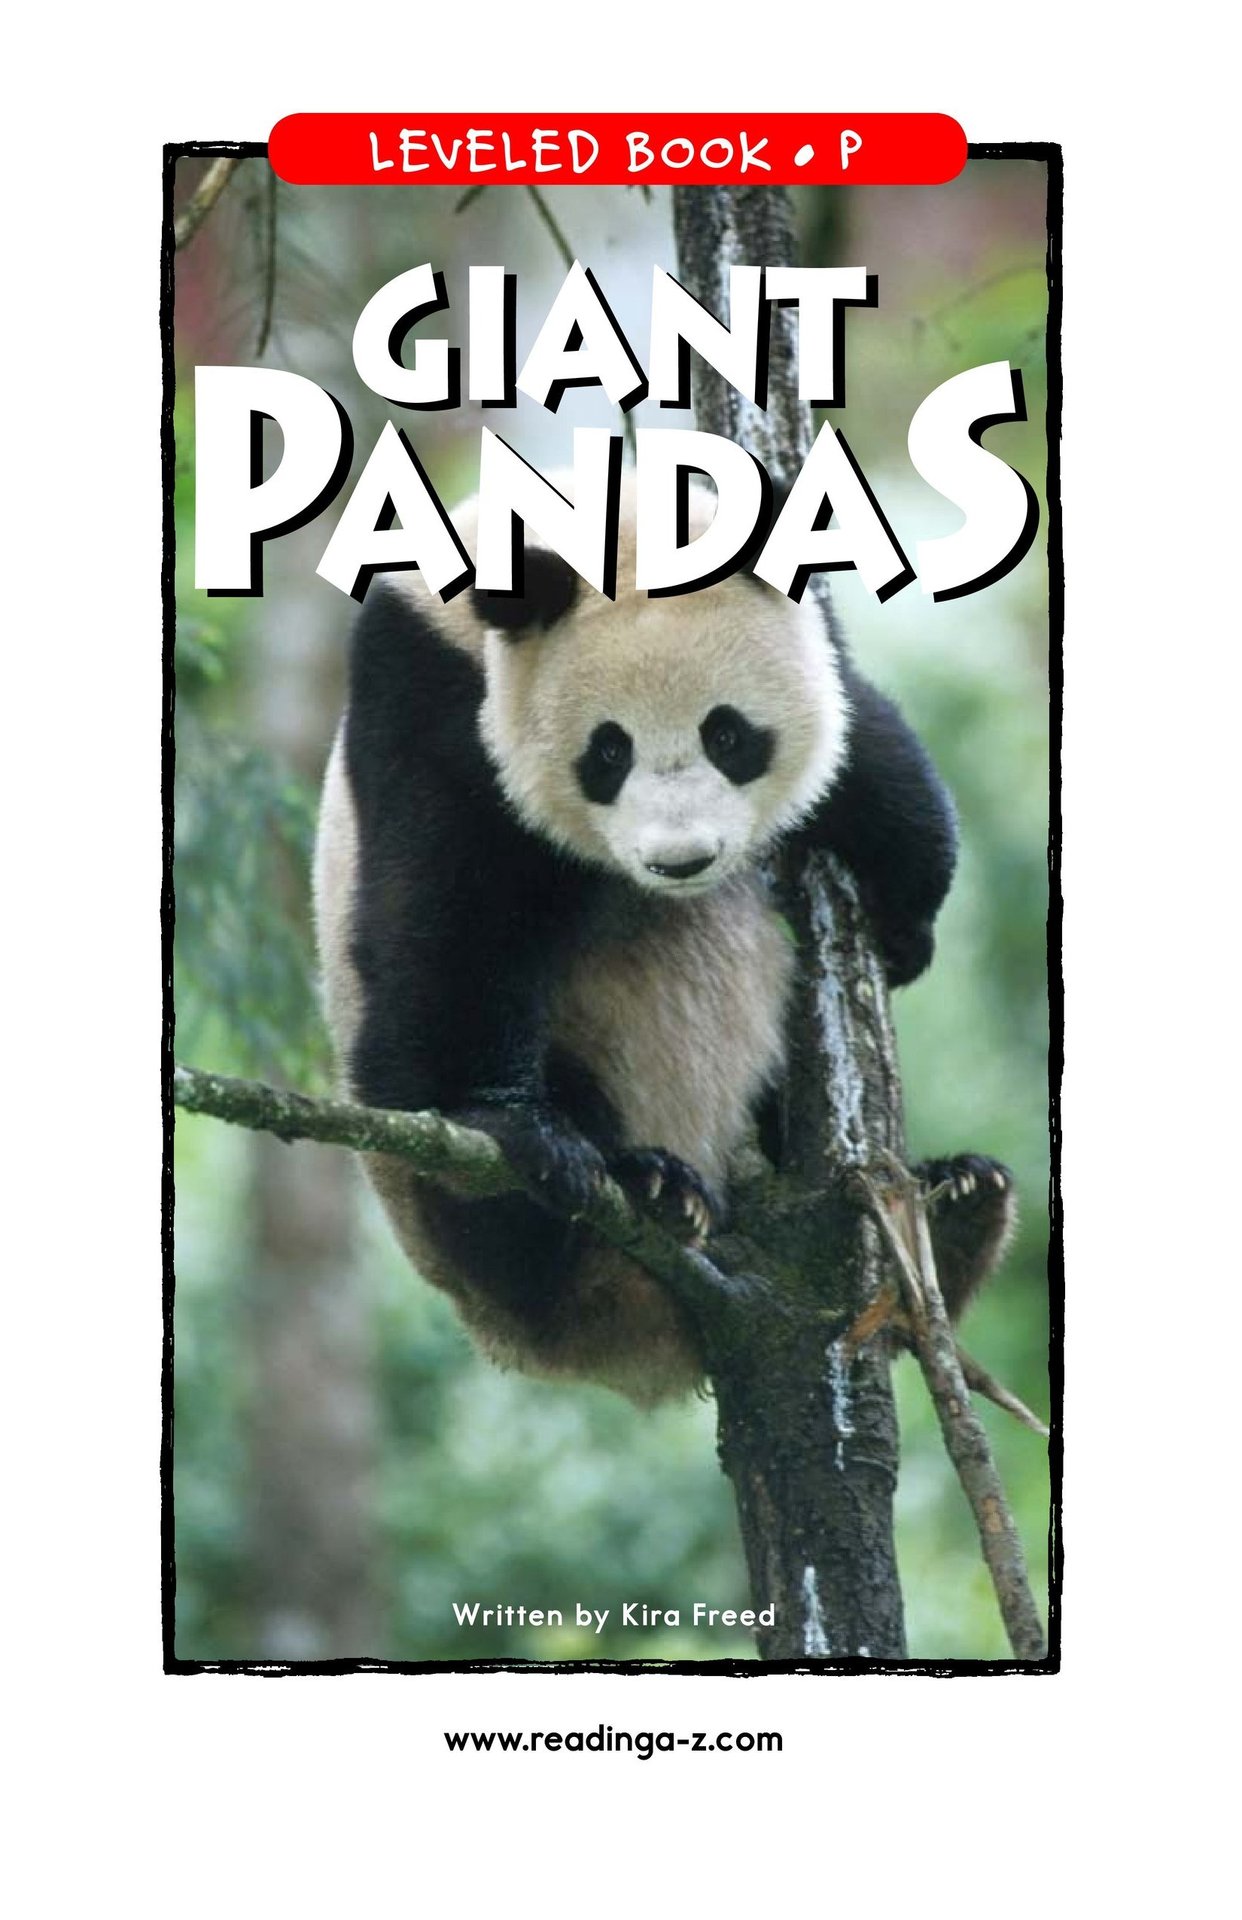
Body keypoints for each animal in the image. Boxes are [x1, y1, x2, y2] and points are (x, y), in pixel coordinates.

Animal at [314, 477, 1015, 1404]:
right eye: (607, 752)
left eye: (730, 735)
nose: (682, 861)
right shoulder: (431, 695)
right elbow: (445, 932)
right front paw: (518, 1128)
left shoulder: (812, 635)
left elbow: (862, 739)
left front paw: (905, 919)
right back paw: (642, 1185)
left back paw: (955, 1203)